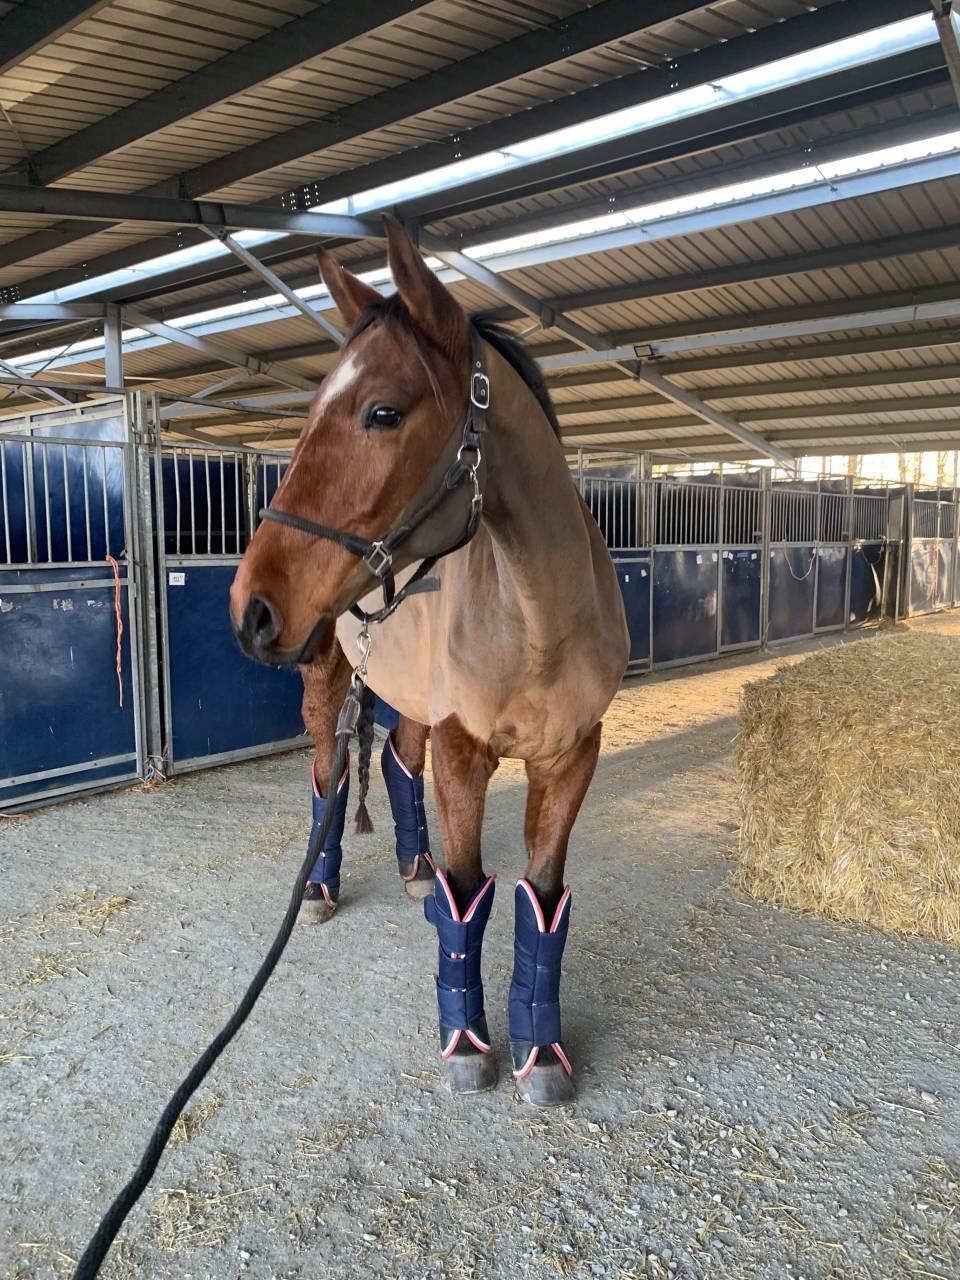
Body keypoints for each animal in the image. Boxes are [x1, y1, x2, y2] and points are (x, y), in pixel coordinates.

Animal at [230, 219, 628, 1105]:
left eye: (383, 411)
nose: (251, 607)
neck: (537, 617)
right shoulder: (464, 750)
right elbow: (467, 899)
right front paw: (468, 1044)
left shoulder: (571, 757)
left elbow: (542, 901)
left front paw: (542, 1055)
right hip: (327, 680)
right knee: (330, 775)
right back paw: (320, 888)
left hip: (408, 693)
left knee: (397, 764)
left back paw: (413, 868)